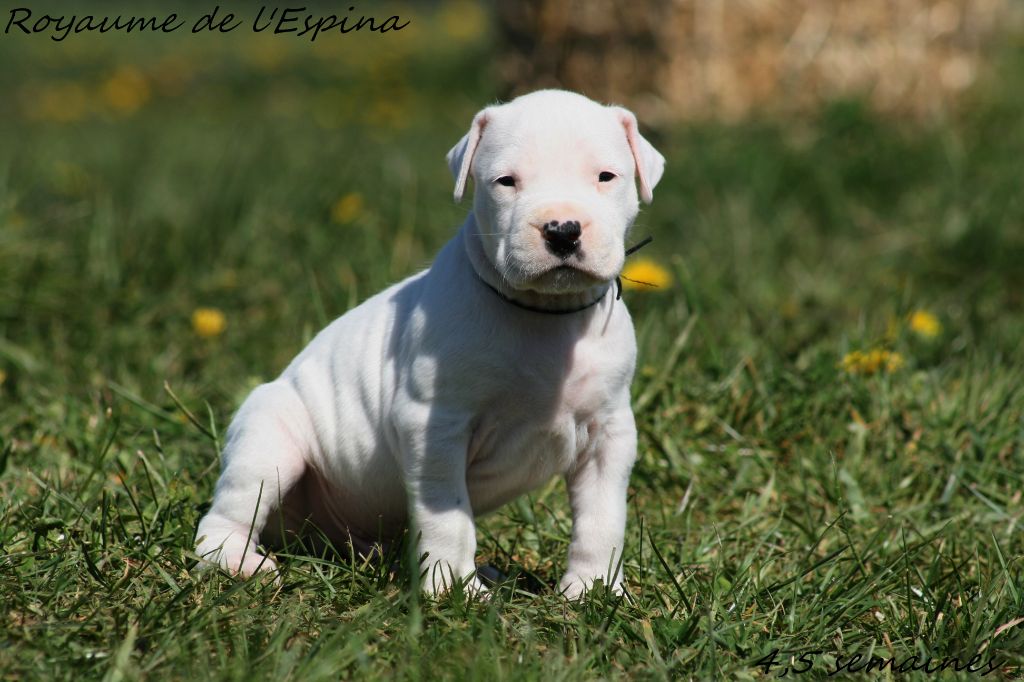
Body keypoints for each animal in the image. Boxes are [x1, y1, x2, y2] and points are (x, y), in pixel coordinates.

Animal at [194, 89, 665, 597]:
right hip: (269, 442)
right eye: (506, 182)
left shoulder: (609, 432)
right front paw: (452, 589)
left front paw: (594, 590)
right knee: (229, 513)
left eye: (606, 177)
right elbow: (448, 516)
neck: (545, 315)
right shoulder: (434, 426)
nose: (562, 229)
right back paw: (238, 563)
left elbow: (602, 517)